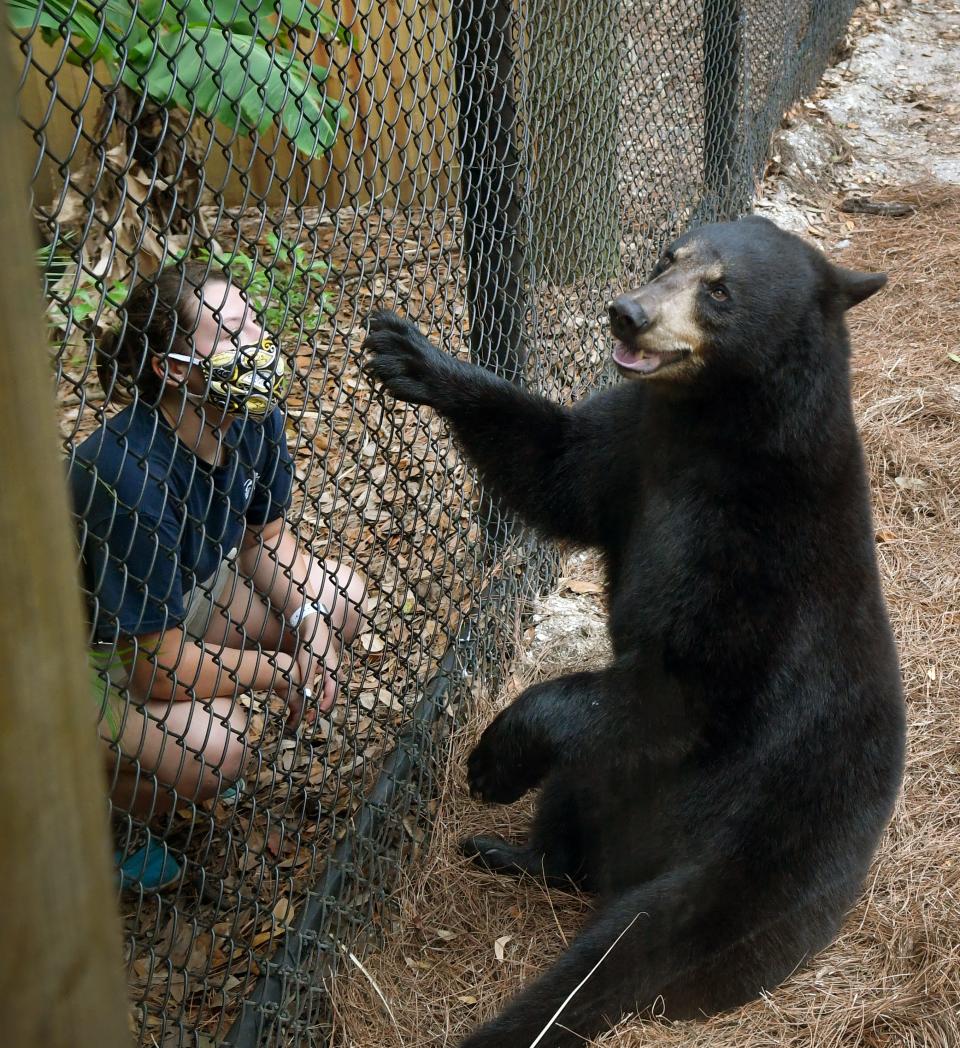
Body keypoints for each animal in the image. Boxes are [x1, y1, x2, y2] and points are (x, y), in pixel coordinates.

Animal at [364, 214, 905, 1048]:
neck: (708, 431)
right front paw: (413, 355)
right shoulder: (634, 446)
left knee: (649, 937)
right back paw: (511, 852)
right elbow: (556, 467)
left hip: (762, 856)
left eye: (721, 290)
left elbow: (686, 687)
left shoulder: (755, 560)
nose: (628, 313)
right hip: (617, 790)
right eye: (668, 257)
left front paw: (493, 756)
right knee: (575, 804)